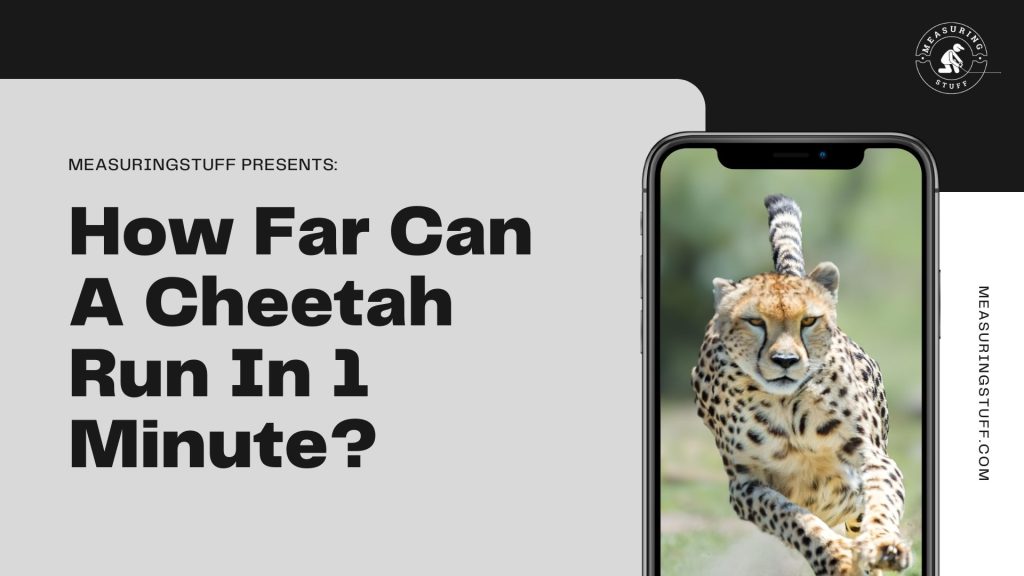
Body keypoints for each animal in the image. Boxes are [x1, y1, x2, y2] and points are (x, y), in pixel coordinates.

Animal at [691, 194, 911, 576]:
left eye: (808, 321)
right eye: (754, 321)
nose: (785, 361)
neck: (786, 406)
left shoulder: (872, 458)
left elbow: (881, 499)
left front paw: (884, 545)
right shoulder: (745, 485)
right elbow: (791, 517)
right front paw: (834, 555)